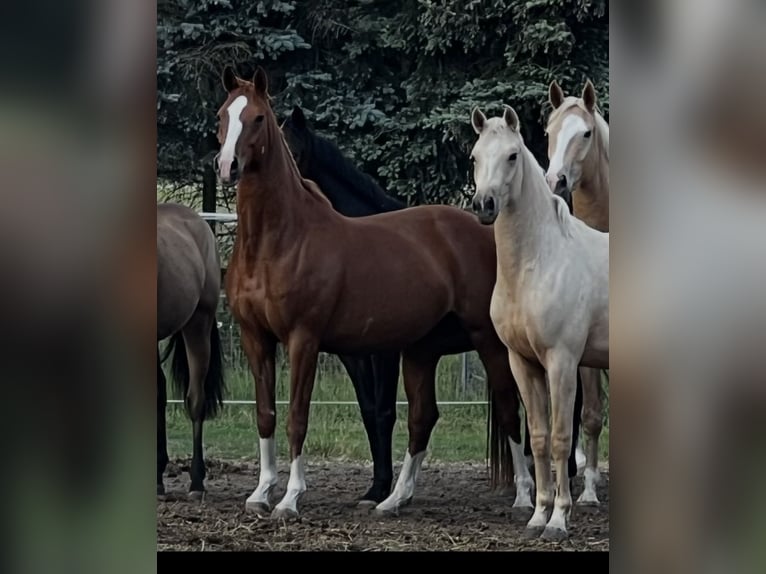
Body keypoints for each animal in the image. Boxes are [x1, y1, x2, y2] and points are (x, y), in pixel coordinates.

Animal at [214, 64, 539, 520]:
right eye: (221, 116)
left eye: (258, 118)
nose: (227, 166)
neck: (278, 241)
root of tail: (481, 226)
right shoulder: (255, 338)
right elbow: (266, 415)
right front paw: (261, 493)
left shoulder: (303, 340)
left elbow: (298, 416)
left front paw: (291, 499)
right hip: (422, 349)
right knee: (423, 417)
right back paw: (394, 500)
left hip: (488, 341)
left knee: (511, 408)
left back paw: (525, 495)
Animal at [469, 104, 608, 540]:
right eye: (474, 157)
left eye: (512, 155)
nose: (484, 205)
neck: (539, 260)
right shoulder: (522, 363)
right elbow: (540, 437)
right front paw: (538, 515)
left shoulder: (562, 363)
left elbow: (563, 439)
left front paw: (560, 519)